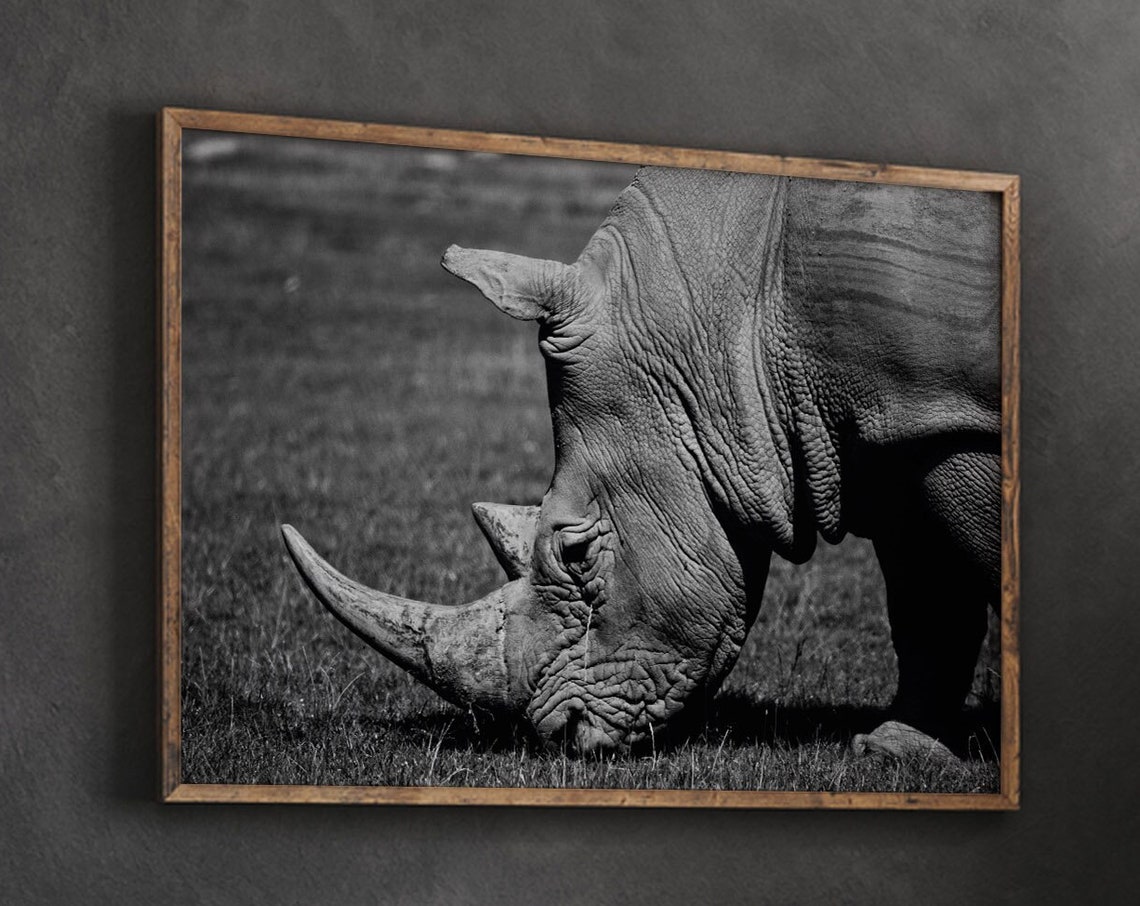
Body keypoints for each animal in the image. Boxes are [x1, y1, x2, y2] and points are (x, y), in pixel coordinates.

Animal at [281, 165, 1001, 759]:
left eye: (574, 553)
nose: (562, 738)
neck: (727, 316)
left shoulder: (944, 422)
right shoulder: (894, 432)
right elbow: (928, 600)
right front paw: (896, 750)